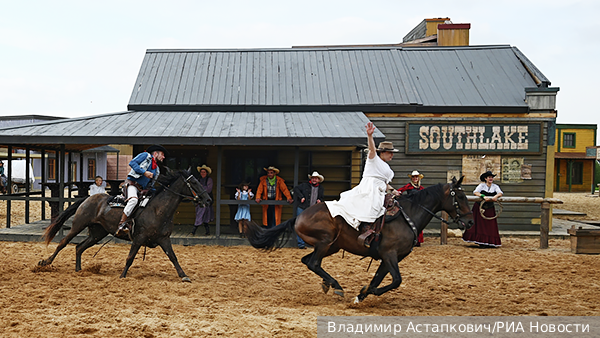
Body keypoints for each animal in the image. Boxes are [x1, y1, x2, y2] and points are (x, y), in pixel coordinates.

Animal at [38, 168, 211, 282]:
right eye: (194, 182)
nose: (208, 199)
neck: (157, 209)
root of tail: (88, 199)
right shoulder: (138, 238)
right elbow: (130, 257)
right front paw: (122, 275)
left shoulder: (164, 239)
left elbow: (173, 257)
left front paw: (184, 275)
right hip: (78, 225)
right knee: (63, 243)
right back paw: (45, 263)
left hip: (97, 234)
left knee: (79, 247)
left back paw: (79, 270)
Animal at [247, 176, 474, 302]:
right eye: (461, 196)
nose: (470, 222)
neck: (408, 215)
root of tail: (300, 216)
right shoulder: (390, 255)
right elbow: (396, 280)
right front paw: (365, 292)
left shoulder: (391, 257)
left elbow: (380, 279)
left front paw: (363, 293)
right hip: (325, 242)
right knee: (313, 262)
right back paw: (336, 286)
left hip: (332, 246)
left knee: (308, 261)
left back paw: (328, 284)